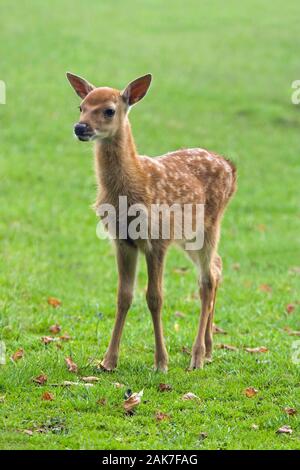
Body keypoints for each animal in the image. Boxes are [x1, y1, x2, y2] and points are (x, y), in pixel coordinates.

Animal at [65, 72, 237, 370]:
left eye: (109, 110)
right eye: (81, 106)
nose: (80, 127)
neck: (132, 185)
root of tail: (229, 166)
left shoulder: (157, 239)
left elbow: (155, 298)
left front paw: (161, 362)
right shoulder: (122, 240)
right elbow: (123, 296)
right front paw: (108, 361)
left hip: (210, 225)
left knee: (206, 281)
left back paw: (197, 356)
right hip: (189, 236)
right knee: (216, 268)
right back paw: (210, 349)